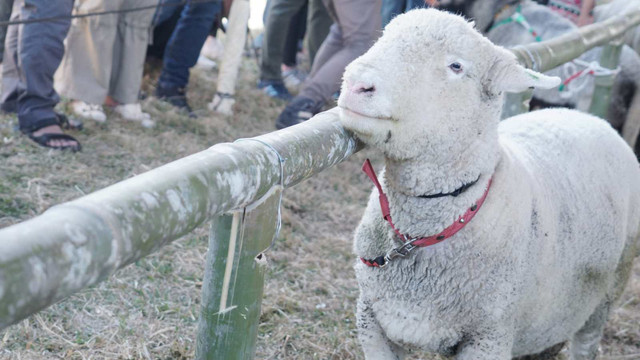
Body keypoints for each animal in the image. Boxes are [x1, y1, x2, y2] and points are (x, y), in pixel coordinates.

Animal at [338, 7, 640, 358]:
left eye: (456, 66)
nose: (356, 83)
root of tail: (594, 119)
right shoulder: (371, 320)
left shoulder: (489, 338)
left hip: (608, 291)